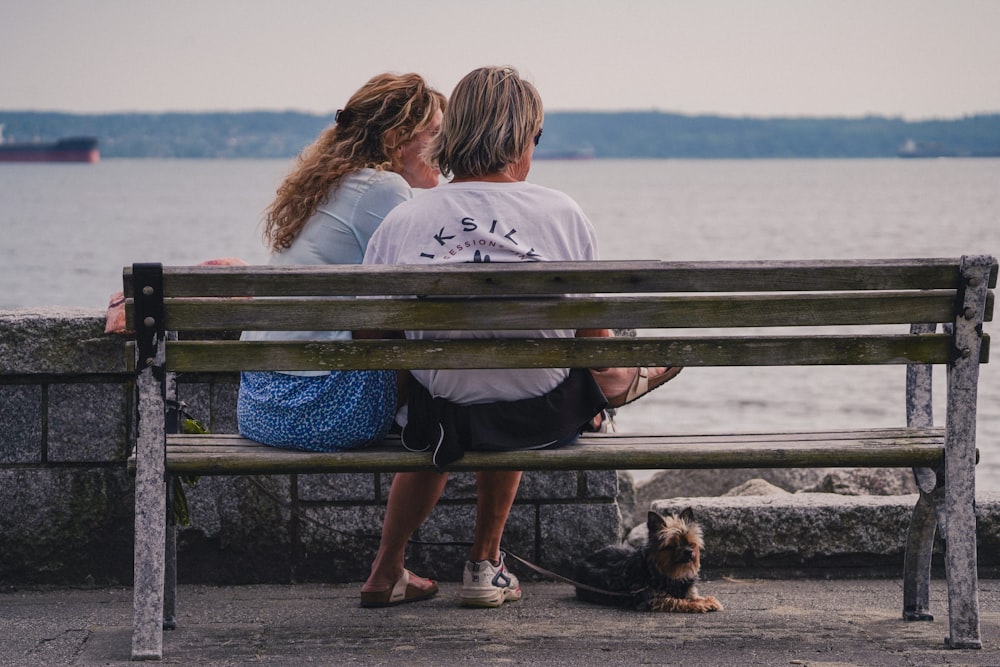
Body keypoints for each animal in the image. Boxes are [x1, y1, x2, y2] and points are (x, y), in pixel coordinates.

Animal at [576, 508, 724, 612]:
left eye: (691, 543)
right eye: (672, 545)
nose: (689, 552)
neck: (670, 573)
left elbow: (693, 596)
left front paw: (706, 600)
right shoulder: (652, 598)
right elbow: (678, 601)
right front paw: (698, 605)